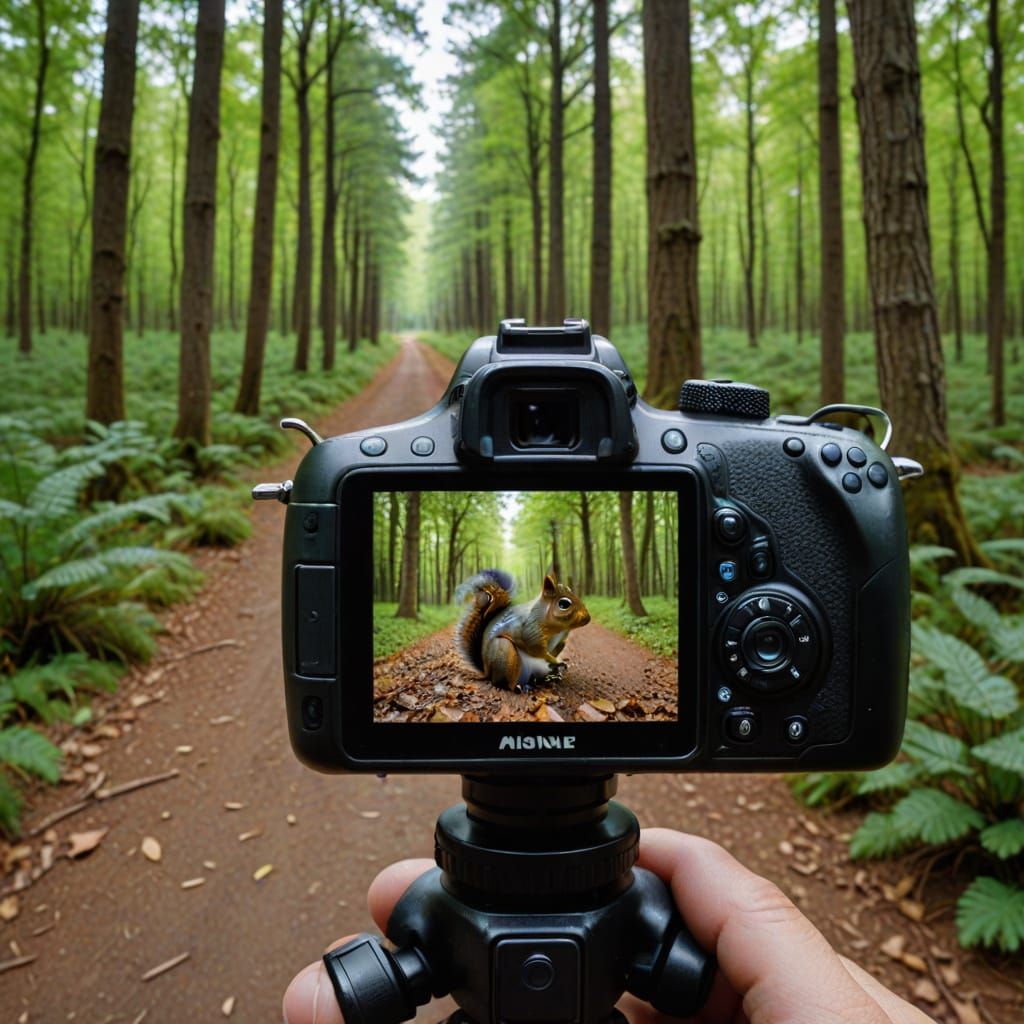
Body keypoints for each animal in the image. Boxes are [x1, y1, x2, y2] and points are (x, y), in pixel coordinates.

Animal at [455, 570, 591, 692]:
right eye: (563, 604)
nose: (587, 618)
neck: (557, 629)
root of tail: (487, 672)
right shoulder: (531, 629)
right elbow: (537, 649)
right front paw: (556, 661)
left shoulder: (560, 640)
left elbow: (556, 648)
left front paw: (556, 664)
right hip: (505, 652)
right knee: (503, 682)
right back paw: (517, 687)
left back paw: (546, 678)